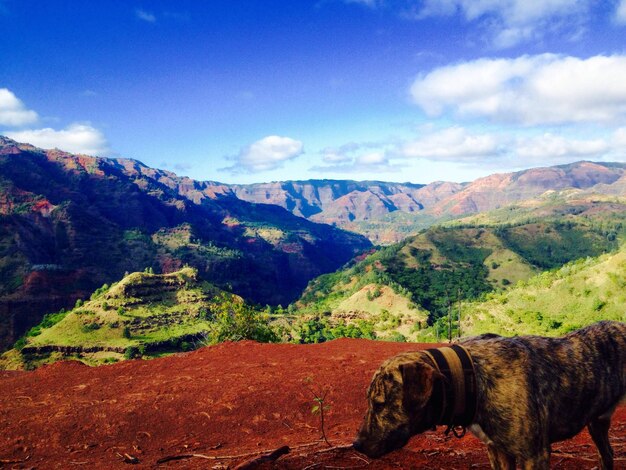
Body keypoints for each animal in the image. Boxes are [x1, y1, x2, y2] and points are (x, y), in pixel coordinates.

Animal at [352, 322, 624, 470]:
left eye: (380, 404)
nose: (356, 445)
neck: (469, 376)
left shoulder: (534, 454)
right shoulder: (497, 451)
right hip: (597, 424)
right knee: (608, 454)